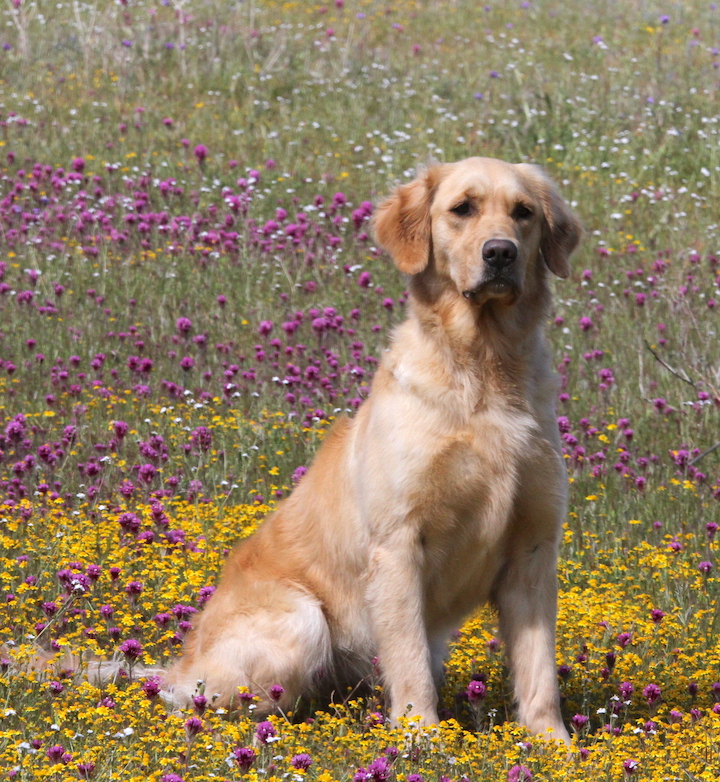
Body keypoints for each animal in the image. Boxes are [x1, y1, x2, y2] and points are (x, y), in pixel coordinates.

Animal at [164, 157, 581, 741]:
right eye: (462, 208)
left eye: (523, 212)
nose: (500, 252)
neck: (483, 367)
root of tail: (176, 668)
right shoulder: (399, 543)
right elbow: (408, 659)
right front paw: (422, 734)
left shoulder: (534, 547)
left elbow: (539, 668)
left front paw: (553, 743)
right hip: (302, 619)